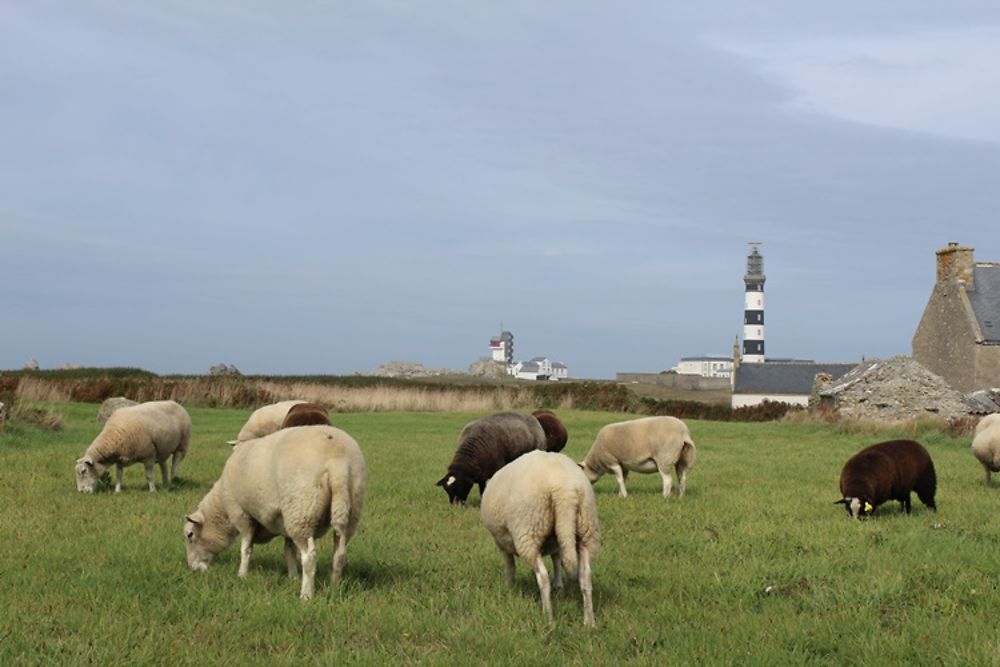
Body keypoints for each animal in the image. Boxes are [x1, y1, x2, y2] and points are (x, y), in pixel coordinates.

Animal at [182, 428, 366, 600]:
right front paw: (293, 577)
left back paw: (306, 595)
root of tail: (338, 462)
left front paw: (242, 575)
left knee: (309, 556)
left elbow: (246, 549)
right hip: (348, 509)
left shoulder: (241, 515)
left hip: (301, 511)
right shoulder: (284, 522)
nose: (191, 568)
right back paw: (334, 587)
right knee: (339, 553)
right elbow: (289, 551)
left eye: (190, 535)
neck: (221, 506)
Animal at [480, 452, 596, 628]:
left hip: (529, 531)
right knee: (585, 576)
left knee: (542, 577)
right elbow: (557, 560)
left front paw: (508, 588)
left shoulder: (502, 543)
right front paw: (559, 586)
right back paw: (589, 622)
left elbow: (510, 567)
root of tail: (565, 490)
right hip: (586, 528)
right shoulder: (557, 543)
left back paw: (548, 618)